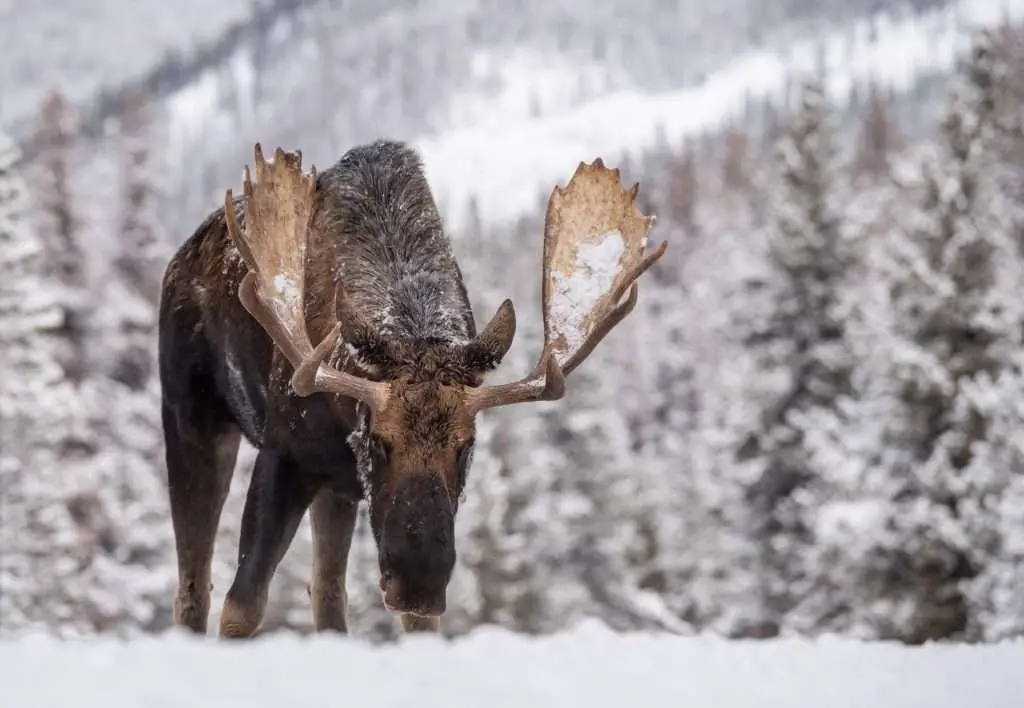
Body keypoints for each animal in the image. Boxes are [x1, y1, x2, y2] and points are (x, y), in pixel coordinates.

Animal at [155, 138, 667, 635]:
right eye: (379, 441)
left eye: (466, 446)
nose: (419, 584)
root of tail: (179, 259)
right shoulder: (284, 452)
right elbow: (240, 606)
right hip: (191, 420)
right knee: (193, 589)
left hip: (335, 493)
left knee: (327, 596)